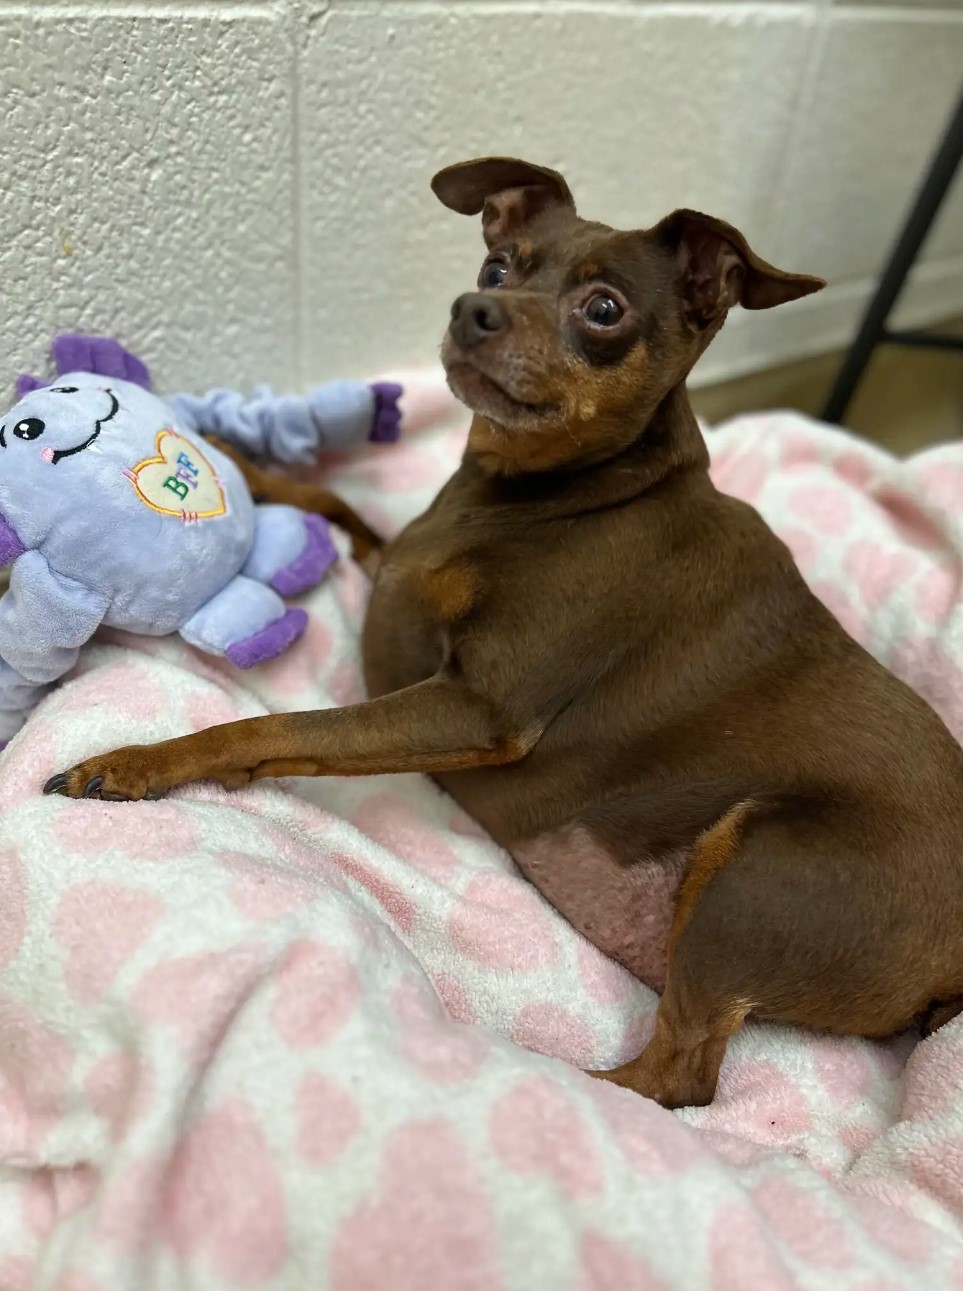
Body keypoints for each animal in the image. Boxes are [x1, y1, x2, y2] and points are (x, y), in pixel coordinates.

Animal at [46, 158, 963, 1110]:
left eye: (604, 308)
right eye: (497, 266)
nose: (470, 309)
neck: (548, 492)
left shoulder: (478, 708)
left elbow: (277, 725)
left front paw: (141, 761)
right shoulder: (399, 574)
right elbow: (336, 501)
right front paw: (242, 459)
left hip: (755, 872)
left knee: (677, 1078)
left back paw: (522, 1071)